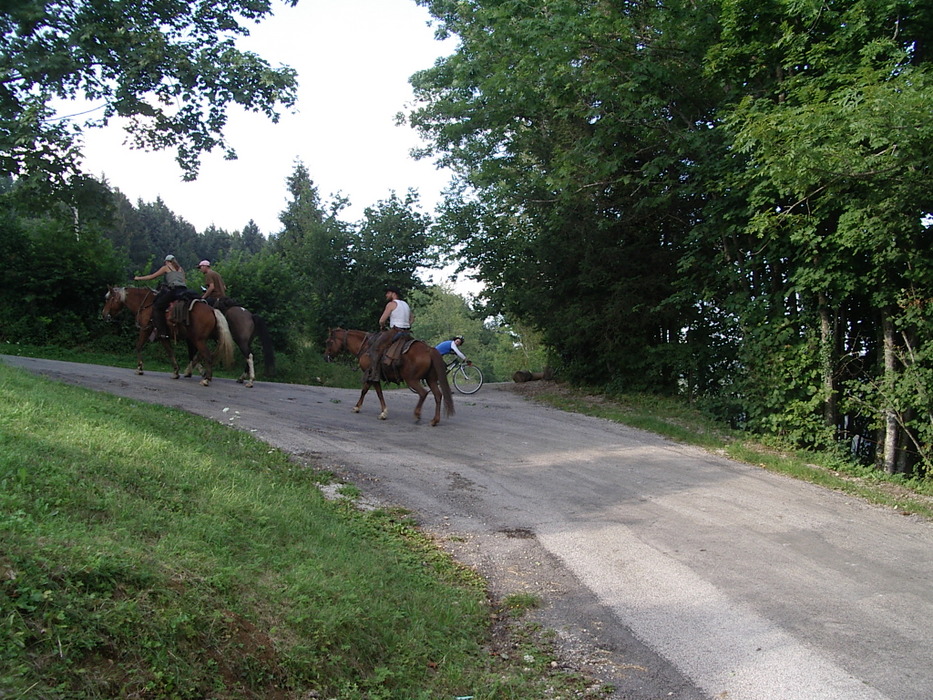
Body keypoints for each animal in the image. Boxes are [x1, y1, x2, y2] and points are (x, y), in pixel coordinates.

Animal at [99, 284, 233, 386]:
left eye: (108, 299)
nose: (104, 314)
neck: (147, 304)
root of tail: (212, 310)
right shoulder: (162, 336)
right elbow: (170, 351)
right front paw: (176, 372)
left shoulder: (147, 330)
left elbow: (140, 346)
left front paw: (140, 368)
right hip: (206, 338)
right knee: (204, 354)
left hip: (198, 340)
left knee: (208, 356)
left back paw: (206, 379)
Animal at [324, 328, 456, 426]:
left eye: (329, 341)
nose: (326, 357)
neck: (366, 347)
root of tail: (429, 350)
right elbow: (369, 391)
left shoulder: (372, 375)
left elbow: (371, 392)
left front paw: (375, 411)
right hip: (431, 379)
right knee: (438, 395)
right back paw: (434, 420)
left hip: (412, 380)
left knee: (423, 393)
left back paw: (417, 415)